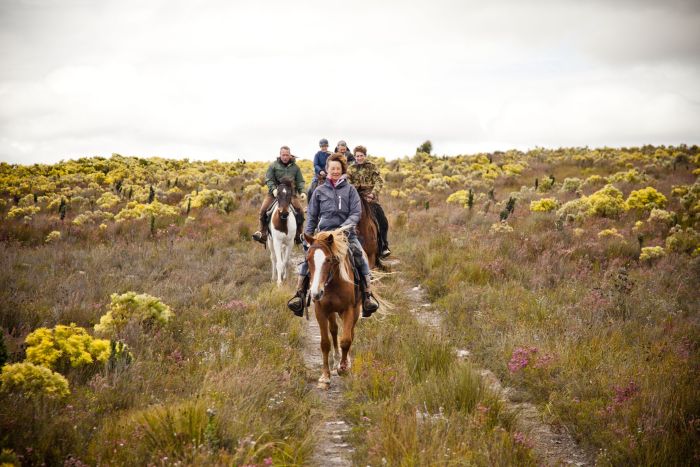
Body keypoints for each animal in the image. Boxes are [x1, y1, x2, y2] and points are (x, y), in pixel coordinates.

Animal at [304, 229, 360, 390]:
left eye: (328, 260)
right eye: (307, 259)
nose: (316, 293)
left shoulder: (349, 310)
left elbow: (346, 340)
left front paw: (343, 367)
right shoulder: (321, 311)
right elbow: (325, 343)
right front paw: (325, 377)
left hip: (355, 311)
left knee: (350, 332)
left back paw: (344, 362)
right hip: (331, 313)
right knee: (334, 330)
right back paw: (335, 360)